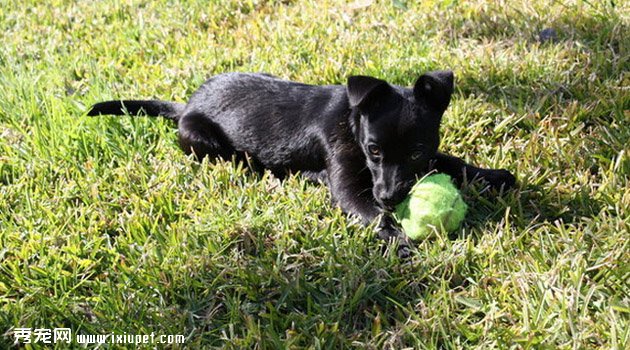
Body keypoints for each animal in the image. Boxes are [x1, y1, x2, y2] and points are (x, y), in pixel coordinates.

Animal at [87, 72, 512, 258]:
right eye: (373, 150)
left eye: (415, 153)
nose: (391, 197)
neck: (353, 121)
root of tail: (186, 105)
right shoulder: (348, 186)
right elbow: (371, 214)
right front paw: (399, 239)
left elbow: (451, 160)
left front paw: (493, 175)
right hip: (199, 139)